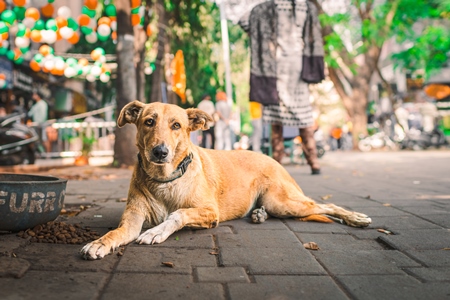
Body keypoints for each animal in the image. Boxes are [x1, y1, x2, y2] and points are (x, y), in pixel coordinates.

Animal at [79, 101, 370, 260]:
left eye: (176, 125)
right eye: (149, 121)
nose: (160, 152)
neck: (165, 181)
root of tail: (273, 159)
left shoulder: (210, 212)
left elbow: (178, 214)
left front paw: (155, 231)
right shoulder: (132, 219)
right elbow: (116, 233)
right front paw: (99, 243)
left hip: (284, 201)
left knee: (327, 206)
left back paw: (356, 217)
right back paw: (258, 214)